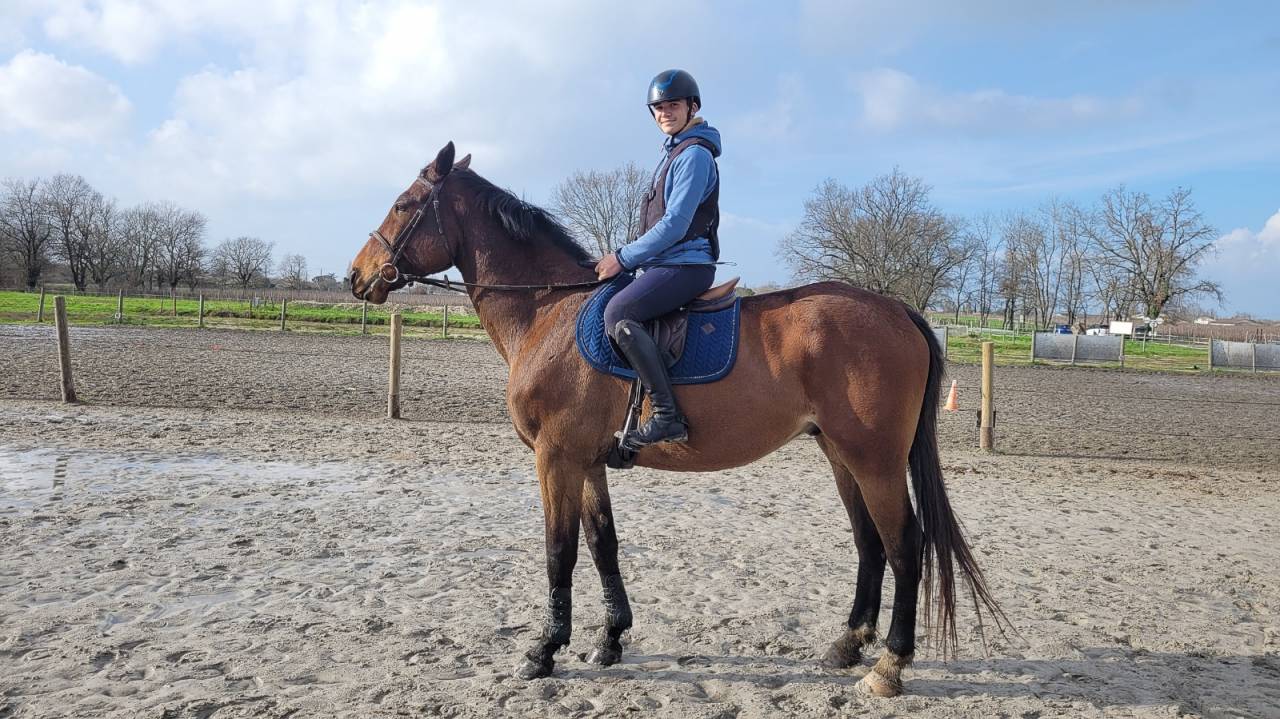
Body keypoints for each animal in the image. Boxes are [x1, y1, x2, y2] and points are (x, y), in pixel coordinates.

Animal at [348, 142, 1004, 697]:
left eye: (403, 204)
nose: (357, 276)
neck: (547, 311)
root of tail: (896, 309)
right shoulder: (587, 461)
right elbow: (602, 543)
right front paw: (610, 640)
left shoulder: (554, 458)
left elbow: (559, 549)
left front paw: (543, 650)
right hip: (842, 455)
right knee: (870, 543)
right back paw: (847, 645)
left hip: (876, 461)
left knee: (904, 545)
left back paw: (890, 665)